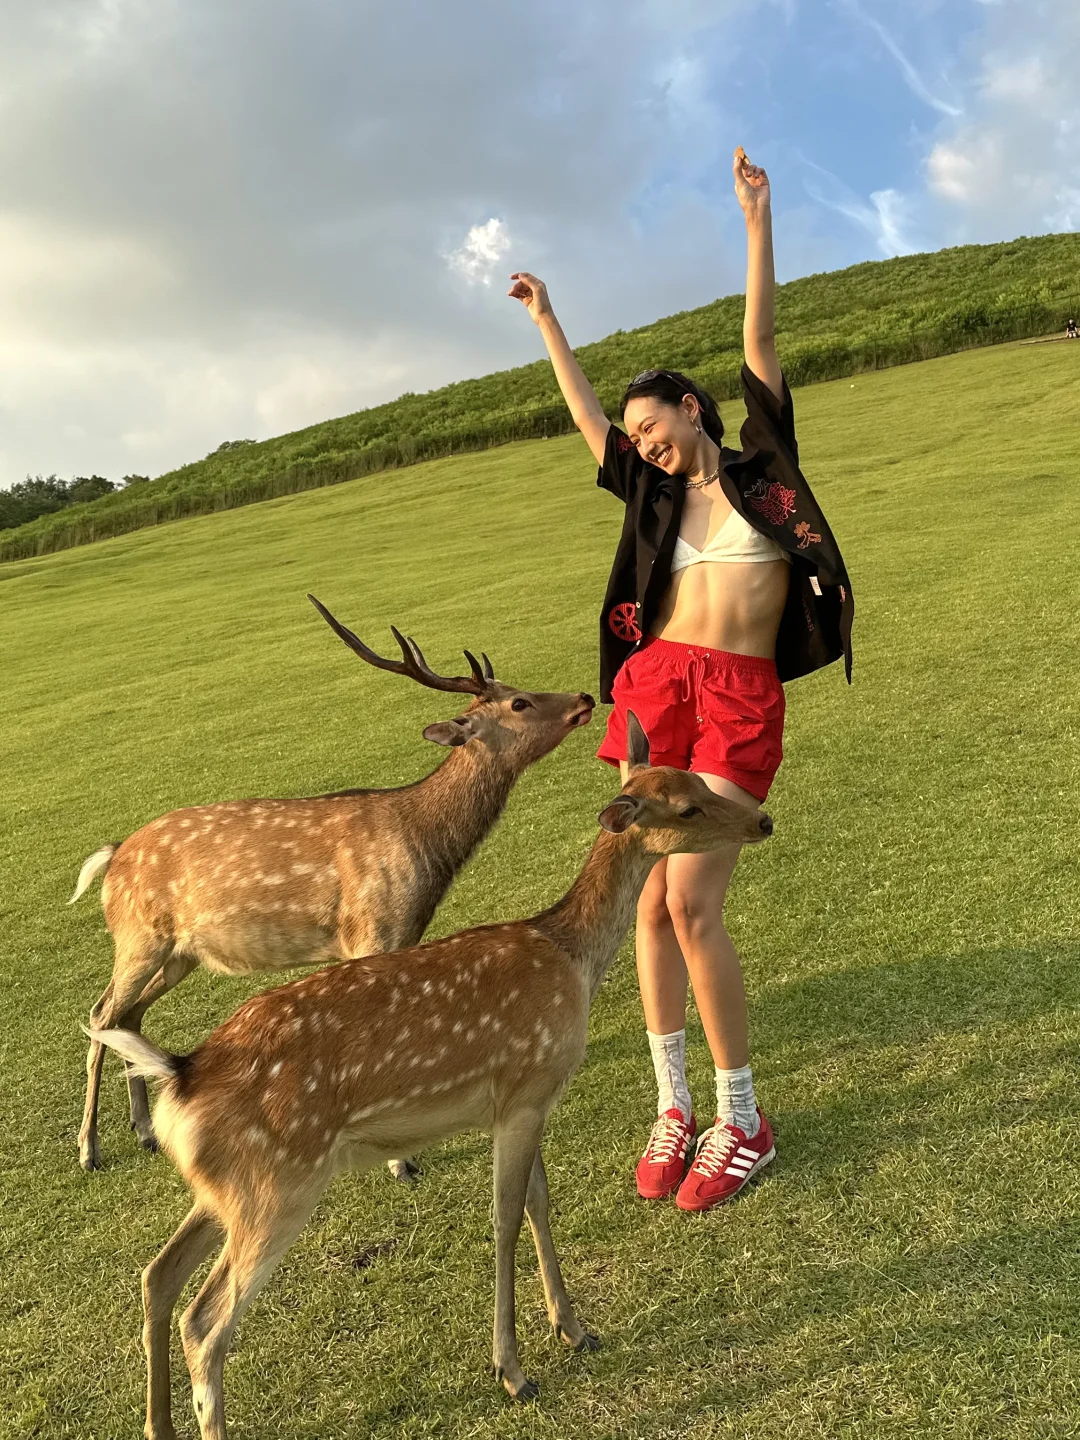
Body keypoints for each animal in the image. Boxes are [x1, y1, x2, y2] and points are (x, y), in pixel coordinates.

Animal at [72, 594, 595, 1173]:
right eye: (520, 704)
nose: (585, 697)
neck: (424, 846)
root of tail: (112, 858)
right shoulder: (371, 930)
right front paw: (401, 1163)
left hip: (179, 953)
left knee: (129, 1016)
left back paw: (144, 1131)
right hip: (138, 937)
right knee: (100, 1013)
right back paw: (89, 1149)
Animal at [89, 714, 773, 1440]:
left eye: (700, 779)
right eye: (686, 808)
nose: (763, 820)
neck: (571, 960)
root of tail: (180, 1075)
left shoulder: (524, 1099)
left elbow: (538, 1205)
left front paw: (575, 1329)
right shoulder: (524, 1090)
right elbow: (504, 1220)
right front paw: (513, 1371)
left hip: (228, 1188)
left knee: (157, 1275)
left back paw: (157, 1424)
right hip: (277, 1185)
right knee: (205, 1321)